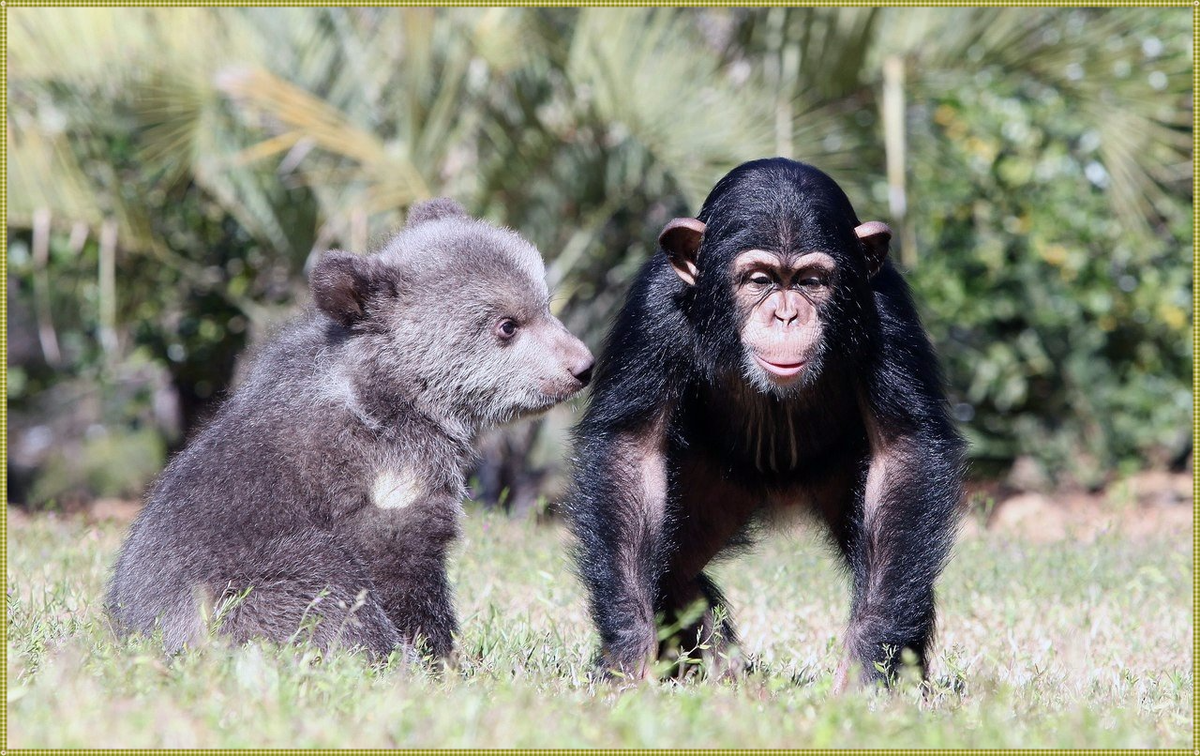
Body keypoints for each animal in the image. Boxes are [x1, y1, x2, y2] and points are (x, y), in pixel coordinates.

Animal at [561, 157, 964, 691]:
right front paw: (628, 656)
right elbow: (631, 448)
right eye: (759, 279)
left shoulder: (888, 307)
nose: (786, 314)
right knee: (673, 566)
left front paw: (866, 667)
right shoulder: (654, 308)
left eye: (811, 280)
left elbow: (904, 449)